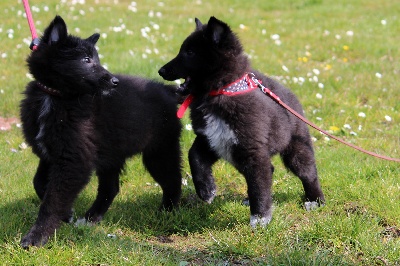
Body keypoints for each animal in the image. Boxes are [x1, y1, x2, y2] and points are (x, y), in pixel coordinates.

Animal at [19, 16, 181, 247]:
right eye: (86, 60)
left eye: (96, 58)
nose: (114, 82)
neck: (56, 96)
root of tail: (168, 90)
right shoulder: (50, 153)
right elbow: (40, 183)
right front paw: (67, 214)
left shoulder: (74, 159)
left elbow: (52, 200)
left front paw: (37, 237)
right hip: (111, 152)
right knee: (110, 187)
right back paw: (91, 218)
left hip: (159, 149)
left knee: (172, 180)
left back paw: (166, 212)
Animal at [158, 16, 324, 228]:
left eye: (190, 52)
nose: (161, 70)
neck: (221, 92)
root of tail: (289, 93)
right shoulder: (212, 139)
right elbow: (193, 155)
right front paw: (206, 190)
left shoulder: (251, 149)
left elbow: (258, 186)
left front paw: (260, 217)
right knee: (268, 170)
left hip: (295, 148)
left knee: (308, 174)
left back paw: (316, 200)